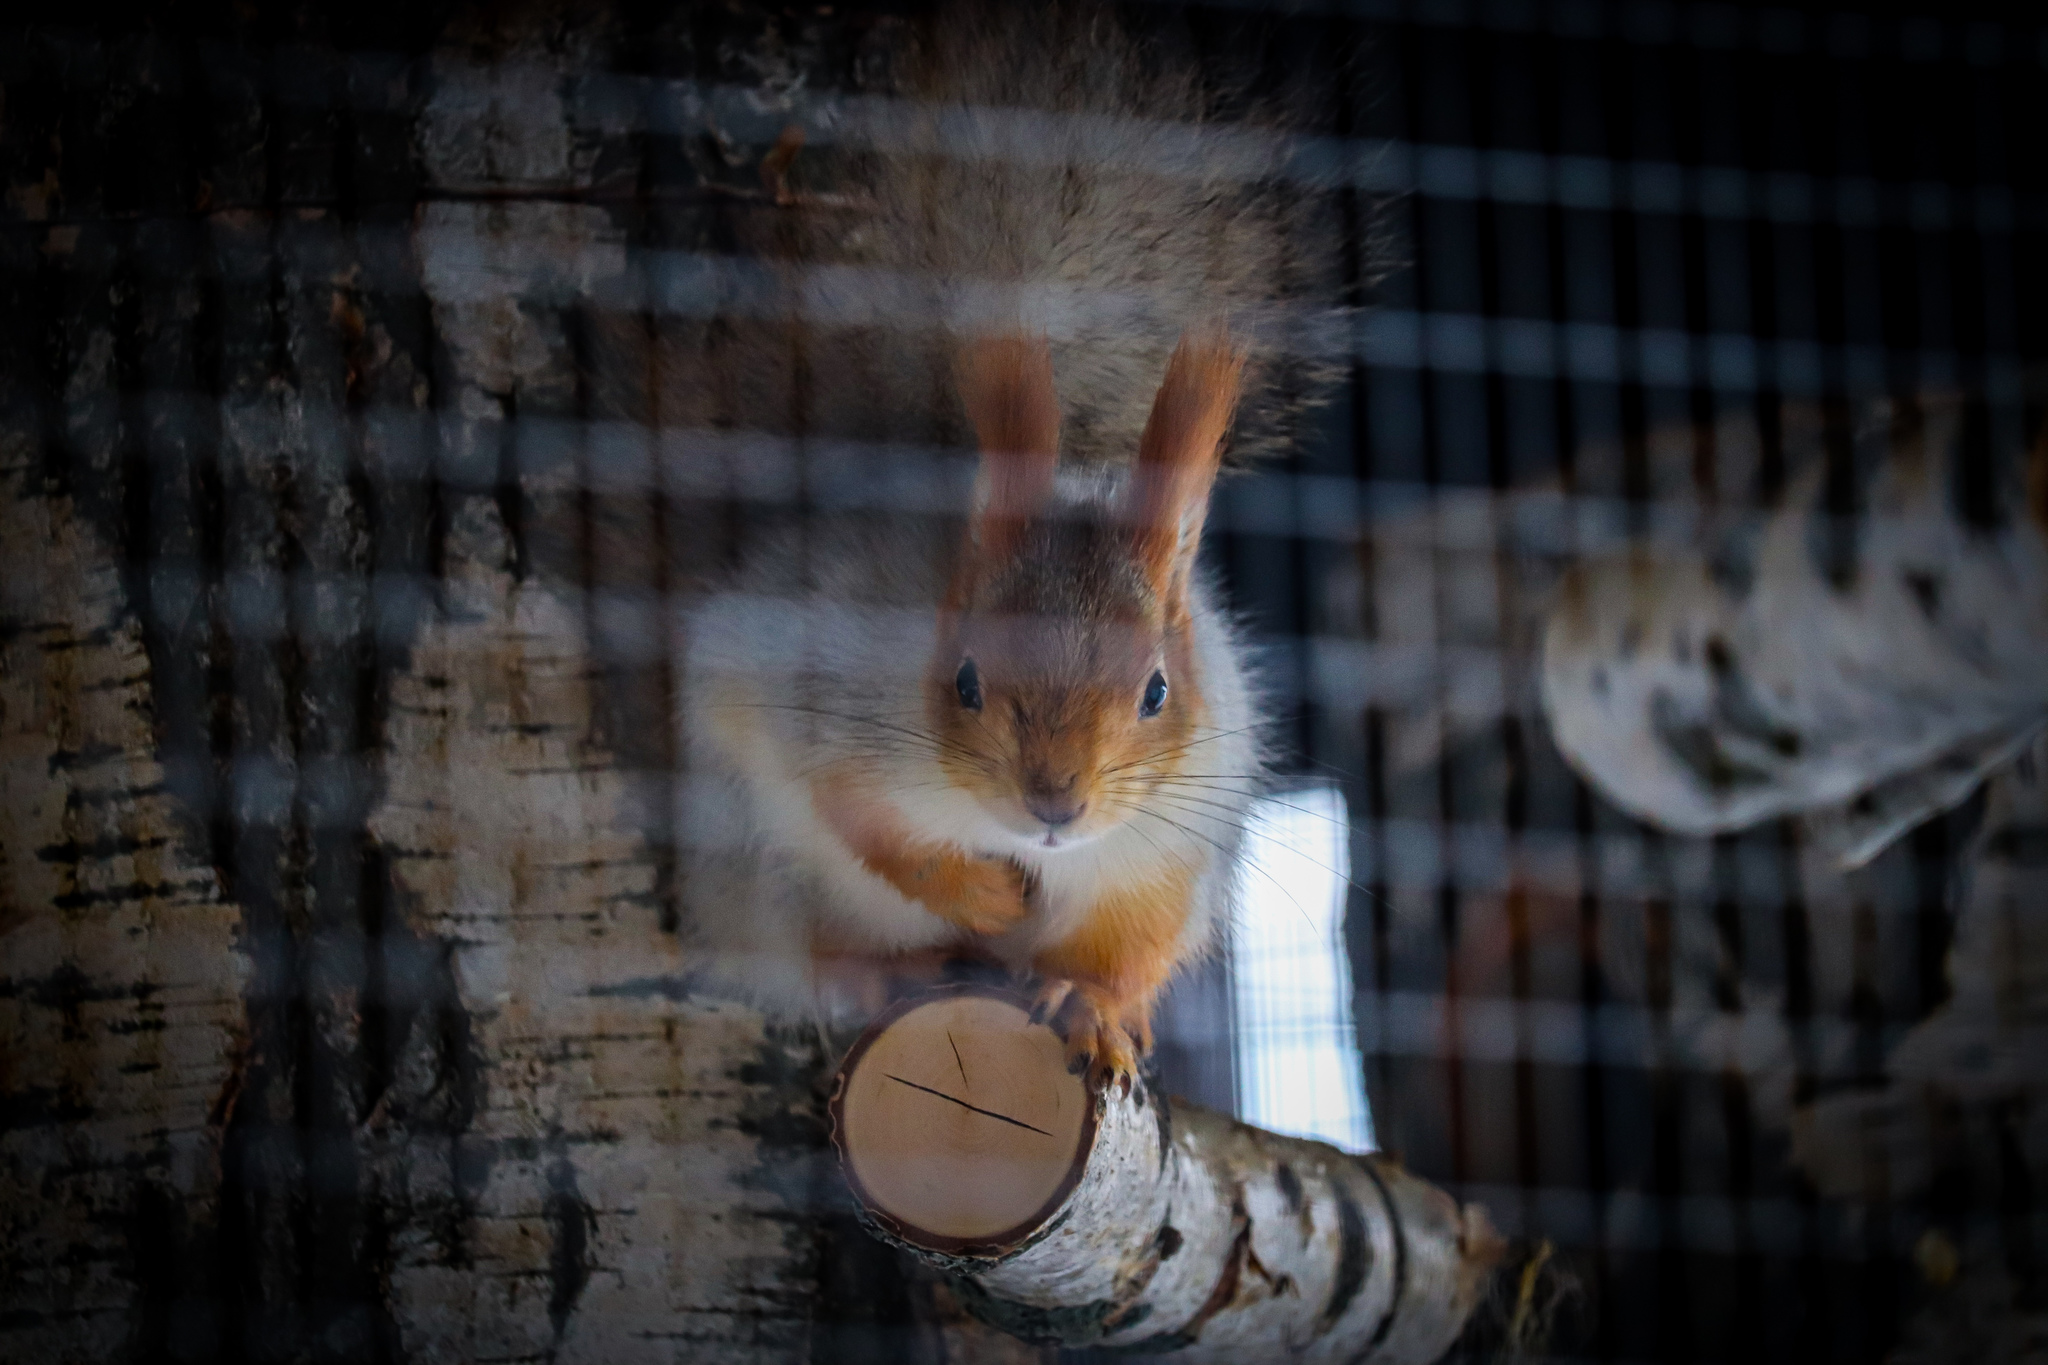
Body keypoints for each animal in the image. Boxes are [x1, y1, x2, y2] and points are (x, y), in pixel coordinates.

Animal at [671, 0, 1343, 1088]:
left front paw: (1095, 1005)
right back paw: (873, 968)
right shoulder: (815, 683)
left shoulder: (1172, 843)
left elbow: (1132, 942)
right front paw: (976, 894)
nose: (1053, 803)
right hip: (748, 869)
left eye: (1157, 691)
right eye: (967, 680)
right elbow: (849, 806)